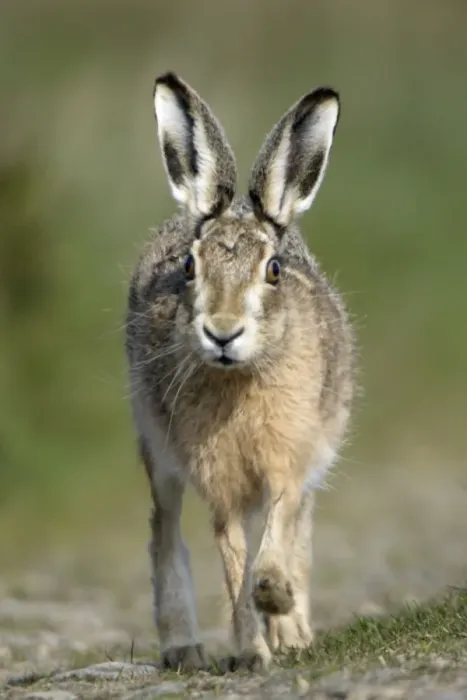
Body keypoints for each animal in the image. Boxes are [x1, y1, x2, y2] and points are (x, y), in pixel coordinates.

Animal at [125, 72, 355, 672]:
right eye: (189, 267)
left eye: (273, 270)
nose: (222, 332)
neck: (239, 379)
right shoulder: (218, 483)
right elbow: (232, 563)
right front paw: (252, 651)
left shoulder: (287, 462)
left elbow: (276, 535)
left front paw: (275, 599)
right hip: (158, 451)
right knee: (164, 531)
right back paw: (184, 647)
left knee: (297, 534)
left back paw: (293, 630)